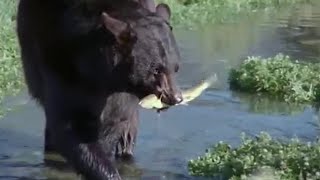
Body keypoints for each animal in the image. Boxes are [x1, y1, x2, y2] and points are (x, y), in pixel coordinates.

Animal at [16, 0, 182, 179]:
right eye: (156, 70)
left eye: (176, 68)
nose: (175, 98)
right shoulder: (60, 66)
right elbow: (69, 126)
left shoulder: (121, 92)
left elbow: (114, 122)